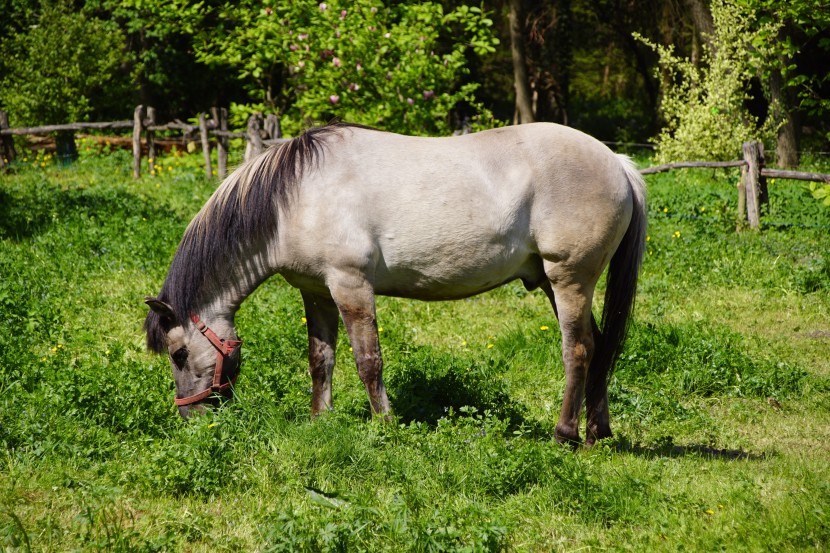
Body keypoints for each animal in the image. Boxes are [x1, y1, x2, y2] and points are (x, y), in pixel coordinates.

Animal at [145, 121, 648, 444]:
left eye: (178, 353)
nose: (190, 416)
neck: (295, 197)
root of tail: (618, 162)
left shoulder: (351, 286)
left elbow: (369, 361)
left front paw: (384, 425)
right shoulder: (316, 292)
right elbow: (320, 360)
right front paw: (320, 421)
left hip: (569, 279)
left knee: (578, 349)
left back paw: (565, 434)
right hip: (552, 281)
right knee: (601, 346)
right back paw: (597, 432)